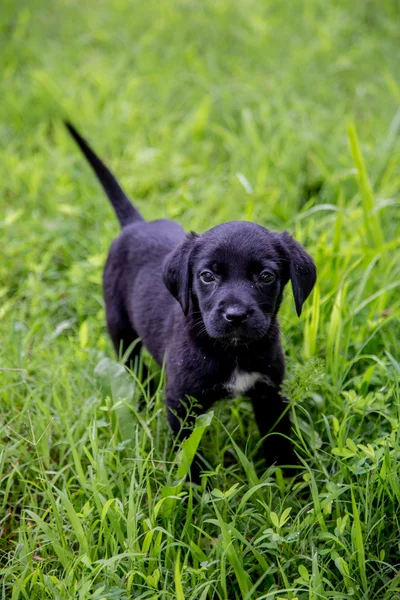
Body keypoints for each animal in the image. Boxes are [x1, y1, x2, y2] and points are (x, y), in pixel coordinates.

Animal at [65, 124, 316, 474]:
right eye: (207, 276)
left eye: (266, 277)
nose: (235, 315)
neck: (232, 352)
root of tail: (136, 224)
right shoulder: (181, 403)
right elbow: (188, 454)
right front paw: (192, 485)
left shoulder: (271, 392)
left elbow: (279, 439)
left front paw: (292, 479)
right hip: (120, 328)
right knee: (134, 367)